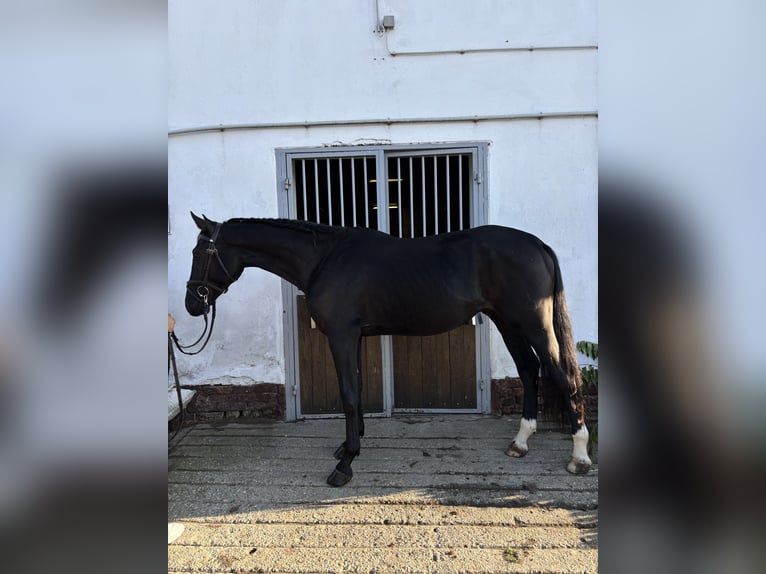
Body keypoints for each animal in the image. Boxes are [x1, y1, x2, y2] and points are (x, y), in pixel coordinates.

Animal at [183, 212, 592, 487]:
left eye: (199, 253)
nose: (192, 304)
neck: (325, 259)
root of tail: (537, 245)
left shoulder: (341, 336)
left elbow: (348, 394)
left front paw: (344, 465)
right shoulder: (356, 337)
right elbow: (360, 388)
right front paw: (348, 446)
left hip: (533, 325)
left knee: (565, 377)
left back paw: (579, 456)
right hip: (508, 322)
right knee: (528, 371)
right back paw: (520, 442)